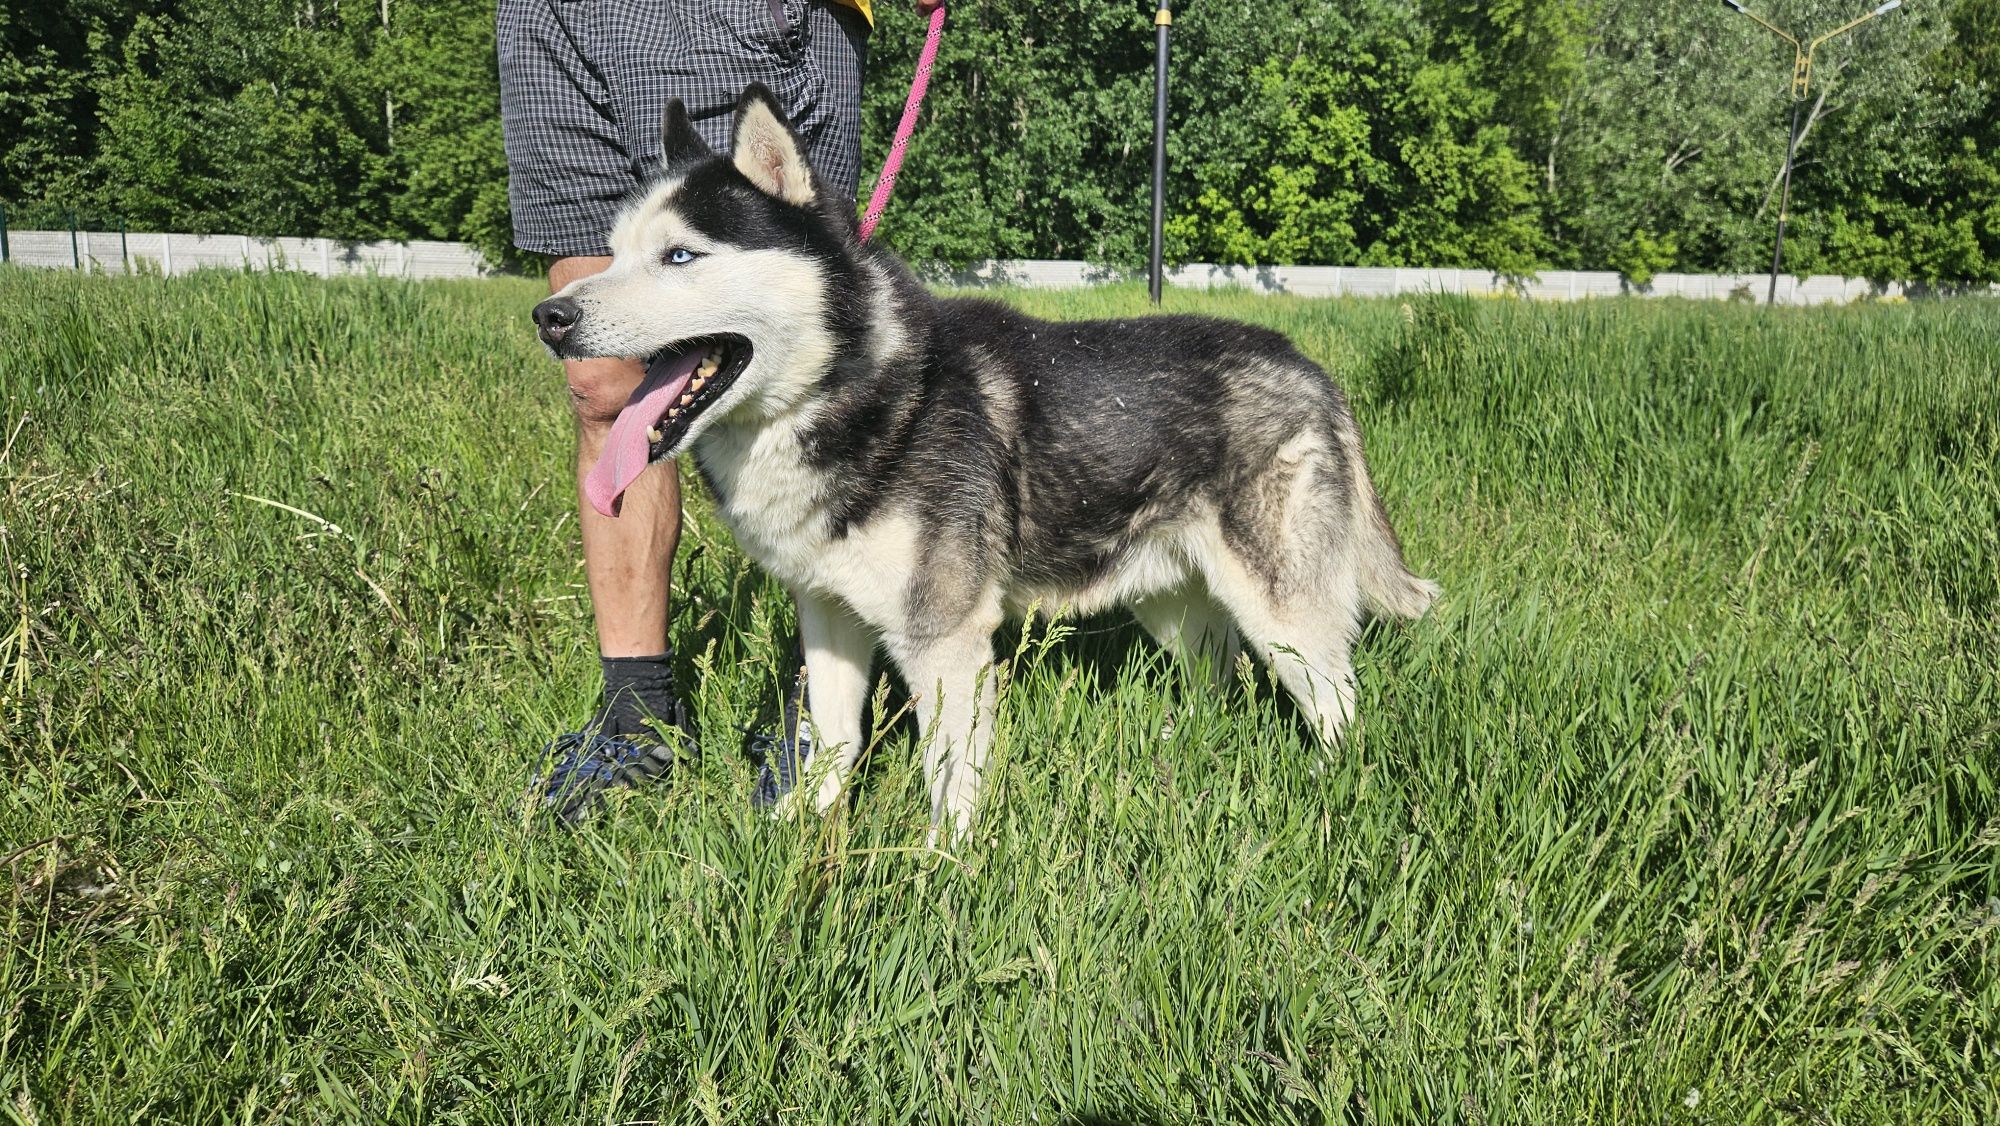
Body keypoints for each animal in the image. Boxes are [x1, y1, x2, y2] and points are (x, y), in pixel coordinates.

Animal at [536, 88, 1440, 840]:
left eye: (680, 257)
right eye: (612, 254)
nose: (549, 316)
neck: (862, 392)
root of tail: (1310, 366)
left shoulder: (944, 640)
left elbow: (950, 778)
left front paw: (943, 873)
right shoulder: (828, 613)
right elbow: (834, 738)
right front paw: (803, 832)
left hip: (1279, 607)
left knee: (1337, 701)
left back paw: (1328, 788)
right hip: (1171, 597)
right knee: (1216, 676)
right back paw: (1181, 748)